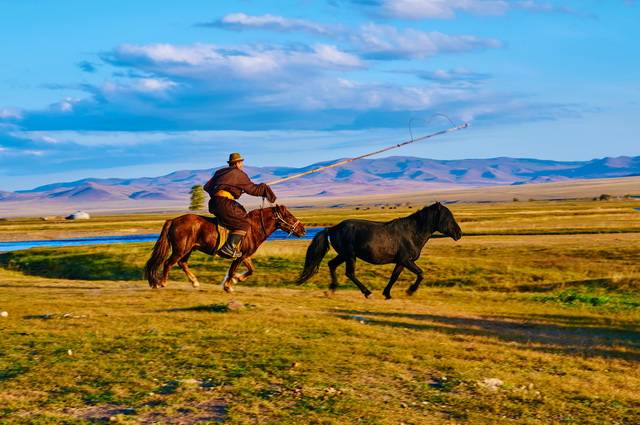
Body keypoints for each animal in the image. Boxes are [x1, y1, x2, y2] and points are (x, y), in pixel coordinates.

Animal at [145, 204, 304, 290]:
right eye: (289, 217)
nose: (303, 230)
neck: (253, 228)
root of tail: (173, 220)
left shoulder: (245, 256)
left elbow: (251, 270)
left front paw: (235, 280)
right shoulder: (239, 256)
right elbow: (233, 270)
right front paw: (228, 285)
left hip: (188, 250)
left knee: (182, 263)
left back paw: (195, 282)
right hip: (180, 249)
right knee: (168, 263)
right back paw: (162, 283)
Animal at [298, 202, 462, 298]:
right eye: (448, 217)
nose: (459, 234)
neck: (412, 232)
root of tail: (332, 228)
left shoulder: (401, 262)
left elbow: (394, 277)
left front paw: (387, 294)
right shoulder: (406, 260)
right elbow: (421, 273)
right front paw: (410, 291)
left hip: (344, 255)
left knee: (332, 265)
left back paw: (332, 289)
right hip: (350, 256)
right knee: (350, 273)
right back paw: (367, 293)